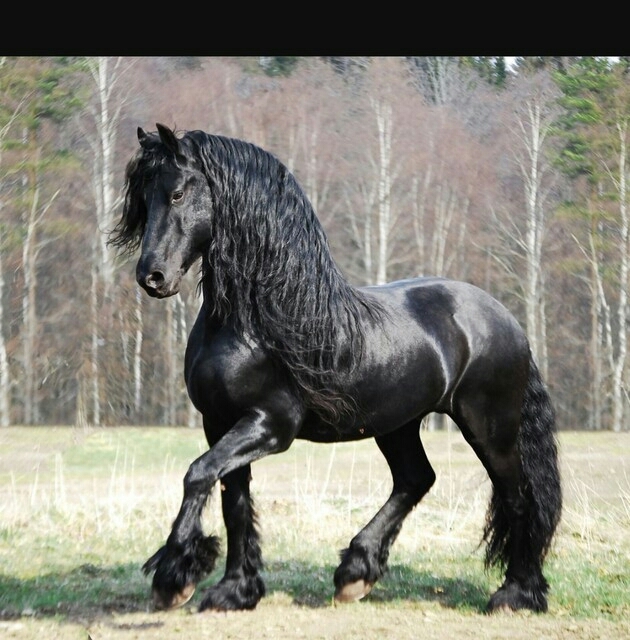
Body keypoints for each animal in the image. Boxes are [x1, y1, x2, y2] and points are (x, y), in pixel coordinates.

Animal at [109, 123, 562, 615]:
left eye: (176, 193)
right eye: (142, 199)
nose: (152, 277)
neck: (256, 322)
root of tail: (506, 319)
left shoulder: (270, 425)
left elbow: (196, 475)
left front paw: (174, 576)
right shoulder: (219, 423)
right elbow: (234, 501)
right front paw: (234, 590)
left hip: (489, 428)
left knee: (518, 498)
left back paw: (516, 593)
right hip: (397, 424)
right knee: (416, 479)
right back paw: (355, 573)